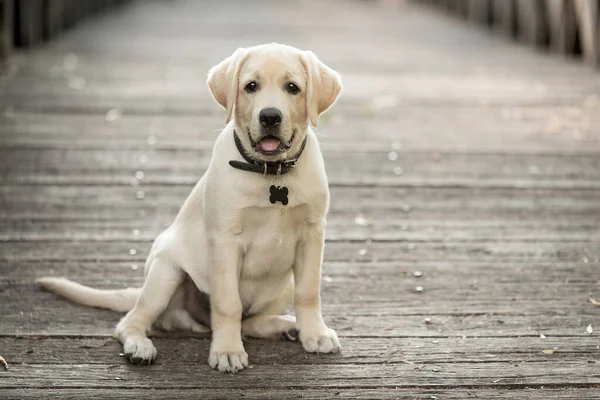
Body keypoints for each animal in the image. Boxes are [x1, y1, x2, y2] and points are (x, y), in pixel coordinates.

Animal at [38, 43, 342, 372]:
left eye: (293, 88)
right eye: (251, 86)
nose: (270, 116)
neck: (271, 173)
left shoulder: (312, 234)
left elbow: (308, 292)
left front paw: (315, 334)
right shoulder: (225, 241)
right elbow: (227, 303)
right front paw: (226, 351)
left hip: (282, 282)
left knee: (248, 320)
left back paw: (285, 326)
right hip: (166, 273)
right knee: (132, 320)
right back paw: (139, 346)